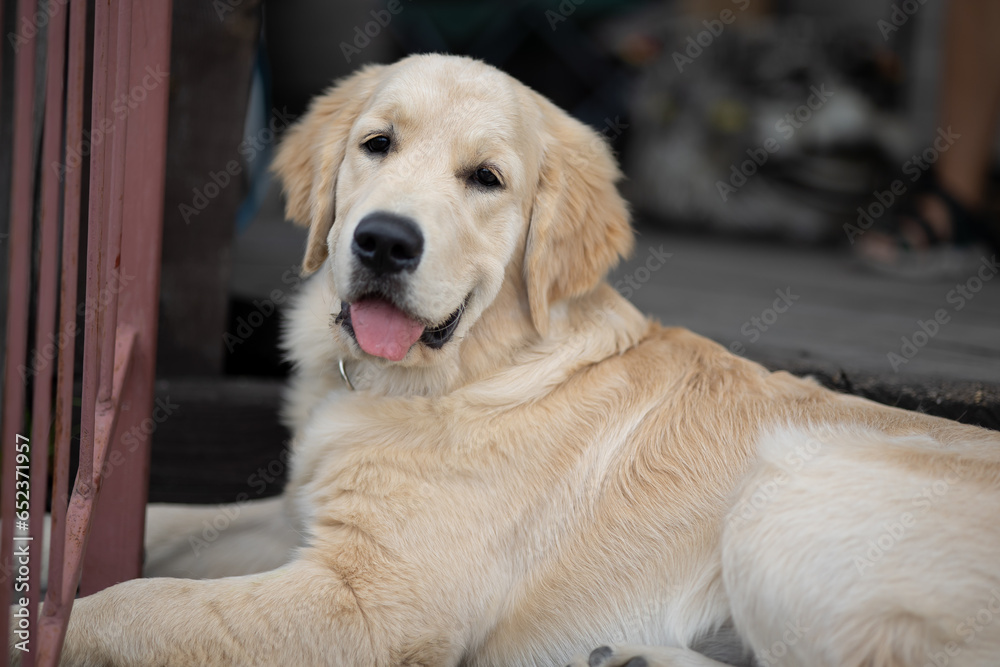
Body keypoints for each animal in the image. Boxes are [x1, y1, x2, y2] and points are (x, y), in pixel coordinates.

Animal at [45, 53, 1000, 667]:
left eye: (487, 179)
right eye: (377, 144)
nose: (384, 241)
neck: (464, 370)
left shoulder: (371, 601)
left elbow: (139, 604)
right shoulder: (296, 520)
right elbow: (168, 520)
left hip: (785, 496)